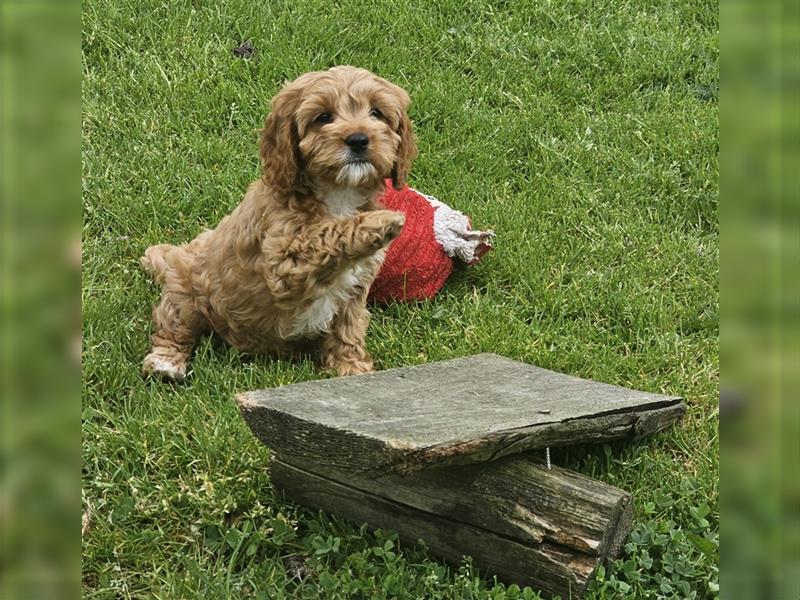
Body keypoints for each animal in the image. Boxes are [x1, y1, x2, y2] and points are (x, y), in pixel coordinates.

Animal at [140, 65, 418, 380]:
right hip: (184, 286)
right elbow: (326, 232)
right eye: (323, 117)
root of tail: (178, 252)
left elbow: (348, 329)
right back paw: (166, 362)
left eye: (376, 113)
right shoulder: (282, 260)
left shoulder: (355, 287)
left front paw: (350, 368)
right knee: (174, 323)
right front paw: (381, 221)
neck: (338, 194)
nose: (358, 139)